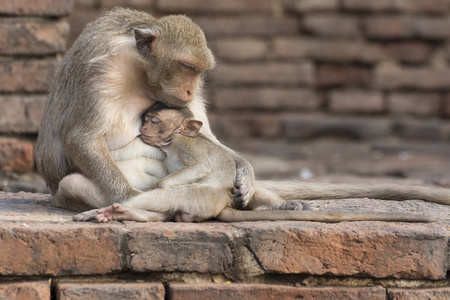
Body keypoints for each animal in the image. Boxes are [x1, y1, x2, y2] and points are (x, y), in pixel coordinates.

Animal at [96, 103, 434, 223]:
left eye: (153, 121)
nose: (142, 128)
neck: (172, 143)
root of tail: (222, 206)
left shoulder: (185, 145)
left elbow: (195, 170)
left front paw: (162, 183)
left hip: (205, 199)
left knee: (179, 194)